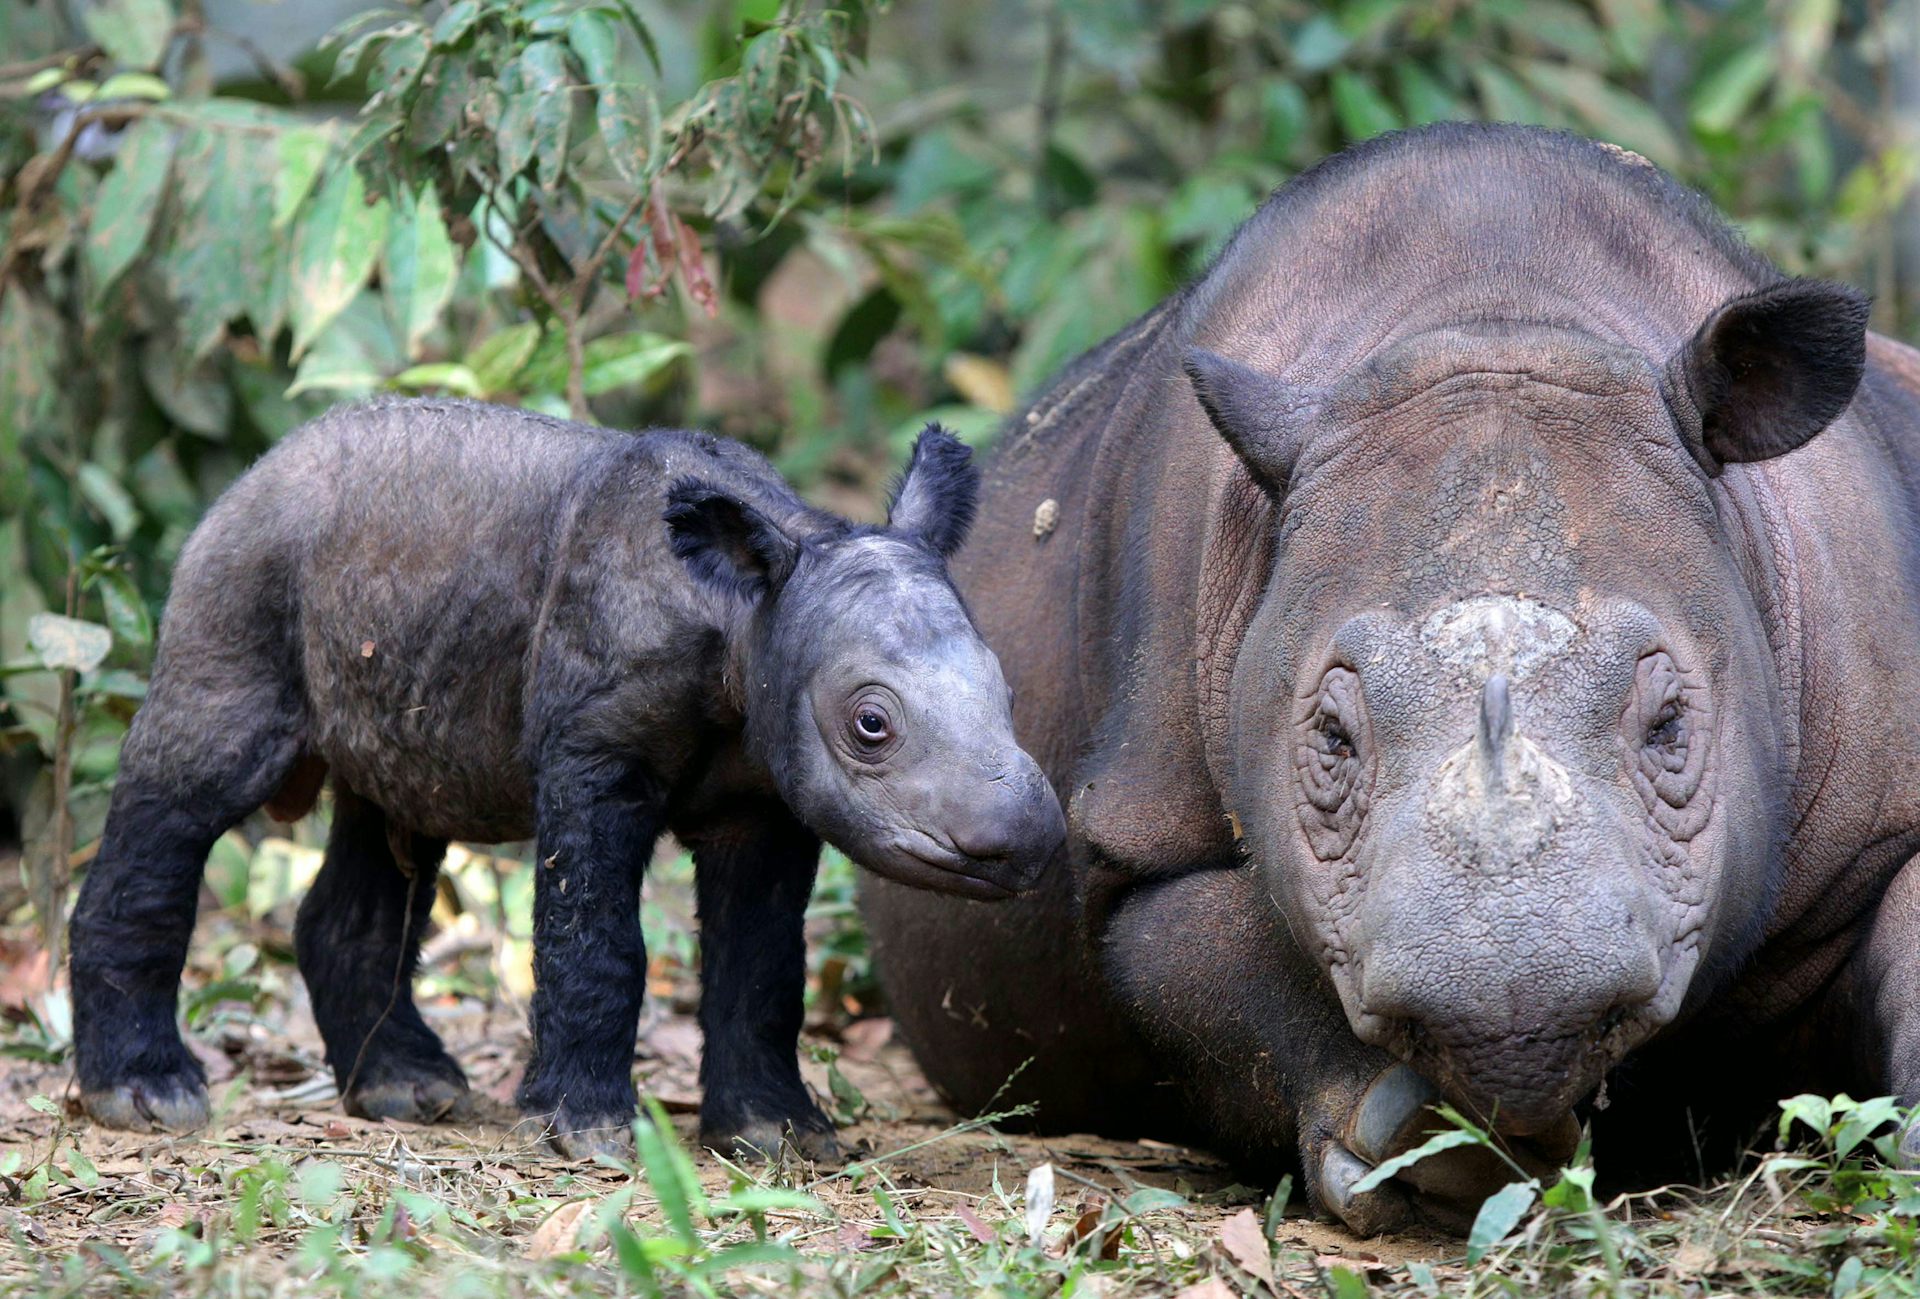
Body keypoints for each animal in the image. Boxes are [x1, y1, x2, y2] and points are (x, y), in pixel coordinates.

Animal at [861, 123, 1920, 1232]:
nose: (1515, 1017)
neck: (1497, 308)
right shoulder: (1137, 833)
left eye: (1670, 725)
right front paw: (1432, 1149)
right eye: (1333, 741)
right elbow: (1202, 957)